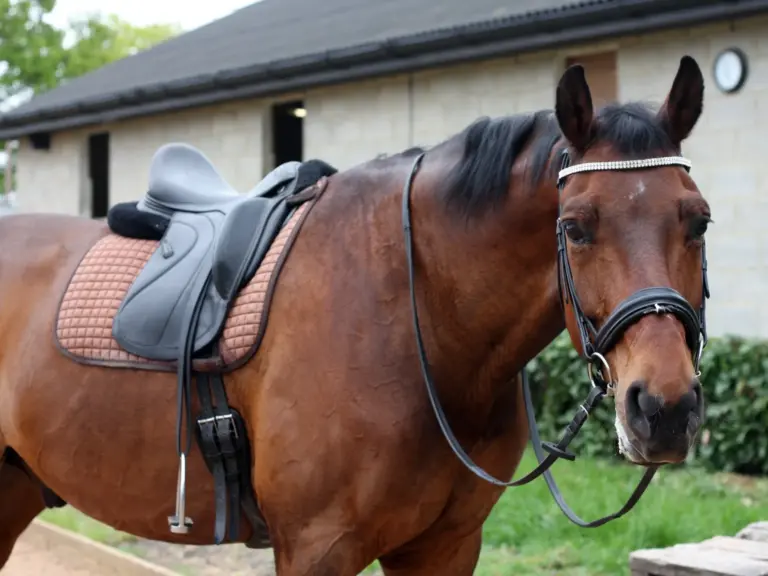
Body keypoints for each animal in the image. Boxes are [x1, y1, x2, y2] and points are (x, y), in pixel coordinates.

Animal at [0, 53, 711, 575]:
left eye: (698, 221)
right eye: (575, 227)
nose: (664, 408)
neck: (420, 325)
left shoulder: (446, 545)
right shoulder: (319, 549)